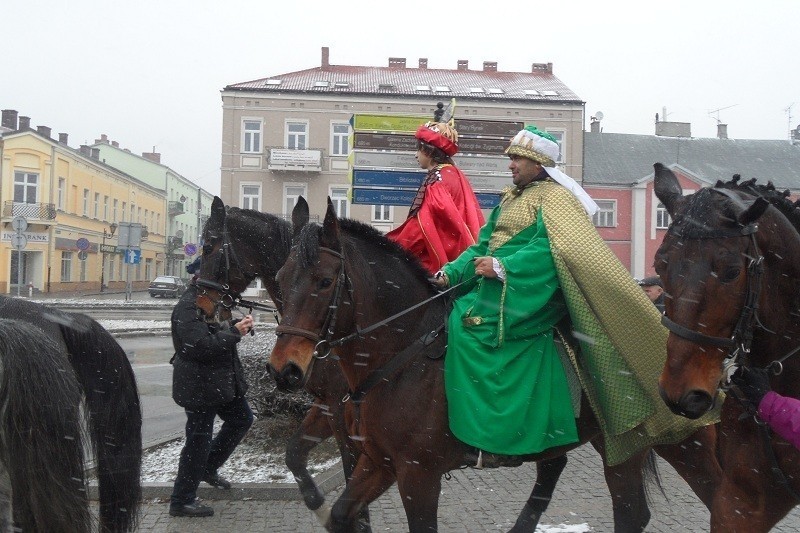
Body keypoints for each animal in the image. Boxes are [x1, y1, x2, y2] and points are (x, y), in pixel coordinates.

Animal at [195, 196, 624, 532]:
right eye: (283, 278)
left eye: (212, 246)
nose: (199, 303)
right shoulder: (331, 409)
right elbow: (295, 455)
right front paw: (322, 508)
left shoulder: (357, 426)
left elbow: (342, 470)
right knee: (553, 465)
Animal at [268, 198, 720, 532]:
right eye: (280, 277)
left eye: (324, 281)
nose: (282, 369)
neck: (402, 354)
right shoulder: (378, 461)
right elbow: (341, 512)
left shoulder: (418, 474)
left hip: (673, 444)